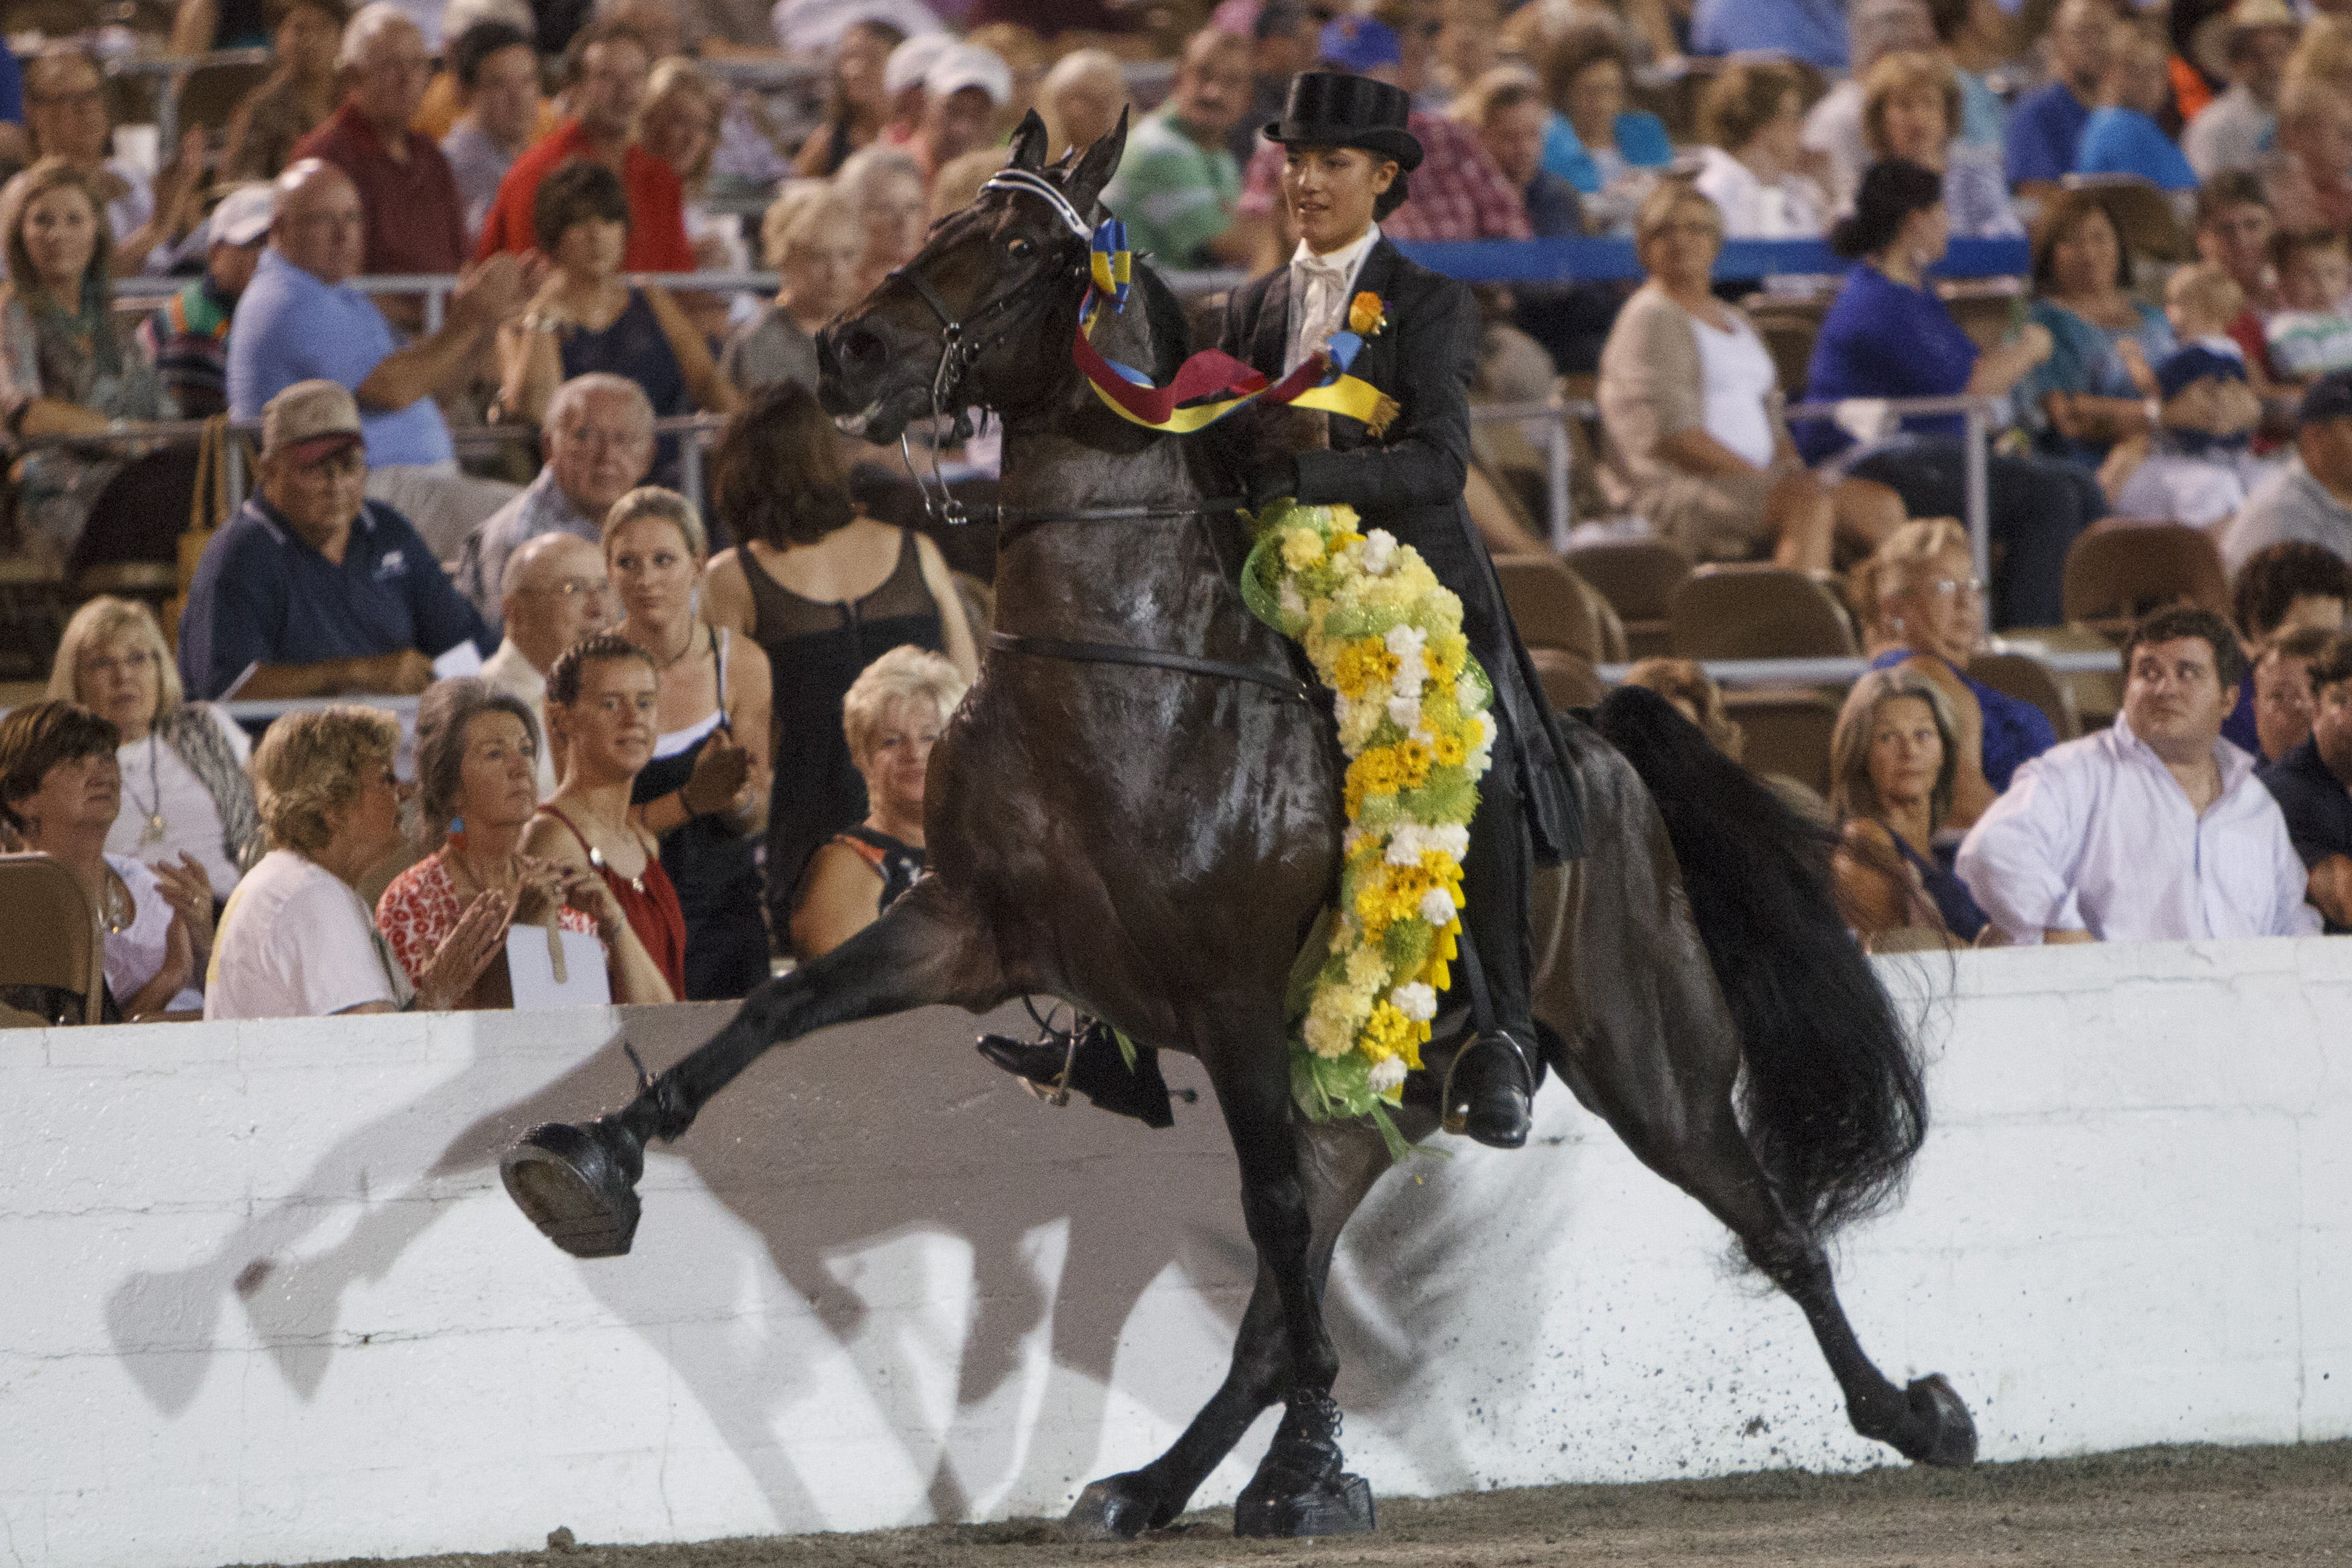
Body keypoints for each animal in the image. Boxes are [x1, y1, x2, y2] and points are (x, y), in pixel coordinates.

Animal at [501, 113, 1985, 1542]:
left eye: (1025, 252)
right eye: (940, 221)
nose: (845, 347)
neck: (1125, 678)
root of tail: (1608, 745)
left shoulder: (1227, 1006)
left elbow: (1266, 1223)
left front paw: (1322, 1474)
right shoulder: (966, 930)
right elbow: (774, 1010)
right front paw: (590, 1163)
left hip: (1644, 1061)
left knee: (1772, 1232)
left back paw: (1918, 1419)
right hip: (1363, 1098)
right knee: (1279, 1314)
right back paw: (1149, 1490)